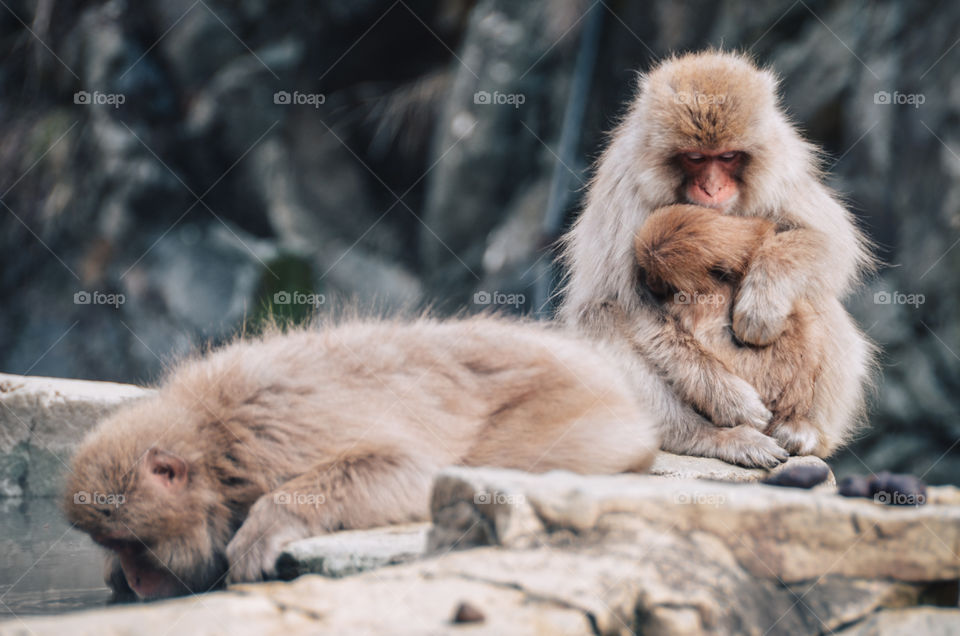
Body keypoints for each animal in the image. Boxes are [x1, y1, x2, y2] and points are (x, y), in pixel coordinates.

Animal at [63, 318, 656, 600]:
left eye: (135, 543)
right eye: (113, 543)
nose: (136, 578)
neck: (214, 448)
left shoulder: (273, 438)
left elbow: (412, 469)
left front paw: (269, 524)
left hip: (582, 422)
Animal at [560, 49, 872, 468]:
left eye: (727, 157)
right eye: (695, 157)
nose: (711, 188)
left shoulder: (782, 166)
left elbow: (828, 238)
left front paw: (760, 306)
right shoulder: (625, 184)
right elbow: (615, 302)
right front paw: (729, 401)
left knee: (817, 295)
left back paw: (802, 429)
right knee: (599, 321)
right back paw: (706, 436)